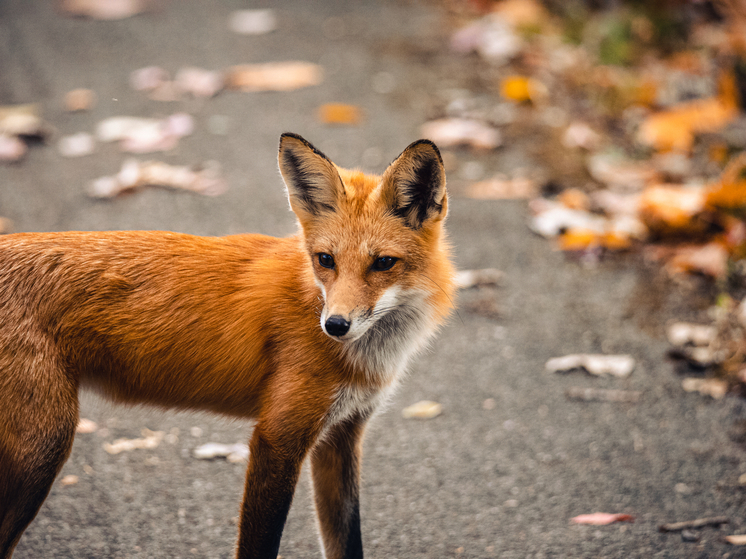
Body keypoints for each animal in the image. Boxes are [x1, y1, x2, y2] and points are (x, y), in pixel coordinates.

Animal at [0, 135, 454, 559]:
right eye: (326, 260)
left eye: (383, 263)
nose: (335, 326)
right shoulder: (277, 438)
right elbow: (260, 545)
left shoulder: (341, 436)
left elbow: (347, 542)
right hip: (43, 448)